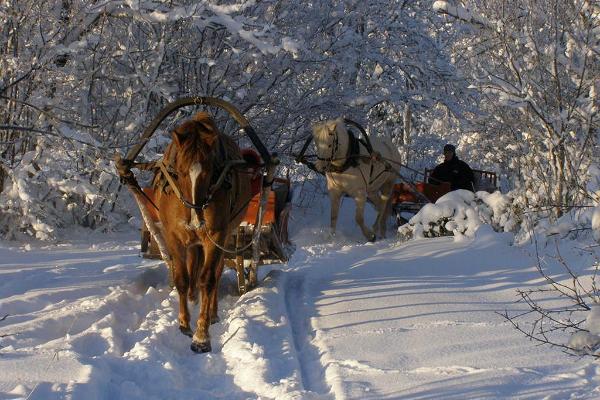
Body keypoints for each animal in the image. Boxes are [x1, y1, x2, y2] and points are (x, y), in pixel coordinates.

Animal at [155, 111, 251, 352]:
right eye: (179, 172)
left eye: (209, 171)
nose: (196, 220)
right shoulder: (174, 237)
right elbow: (182, 278)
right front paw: (183, 323)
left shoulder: (215, 236)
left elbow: (207, 279)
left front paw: (201, 335)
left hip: (225, 236)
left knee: (215, 273)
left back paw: (212, 312)